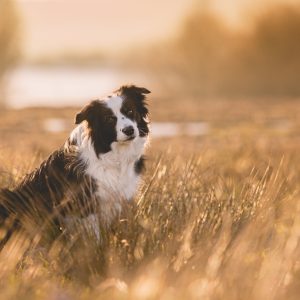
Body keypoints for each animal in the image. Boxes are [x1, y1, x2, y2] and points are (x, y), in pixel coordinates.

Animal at [0, 84, 150, 246]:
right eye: (109, 118)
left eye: (130, 111)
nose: (129, 130)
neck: (113, 155)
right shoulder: (86, 202)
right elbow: (95, 236)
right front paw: (98, 250)